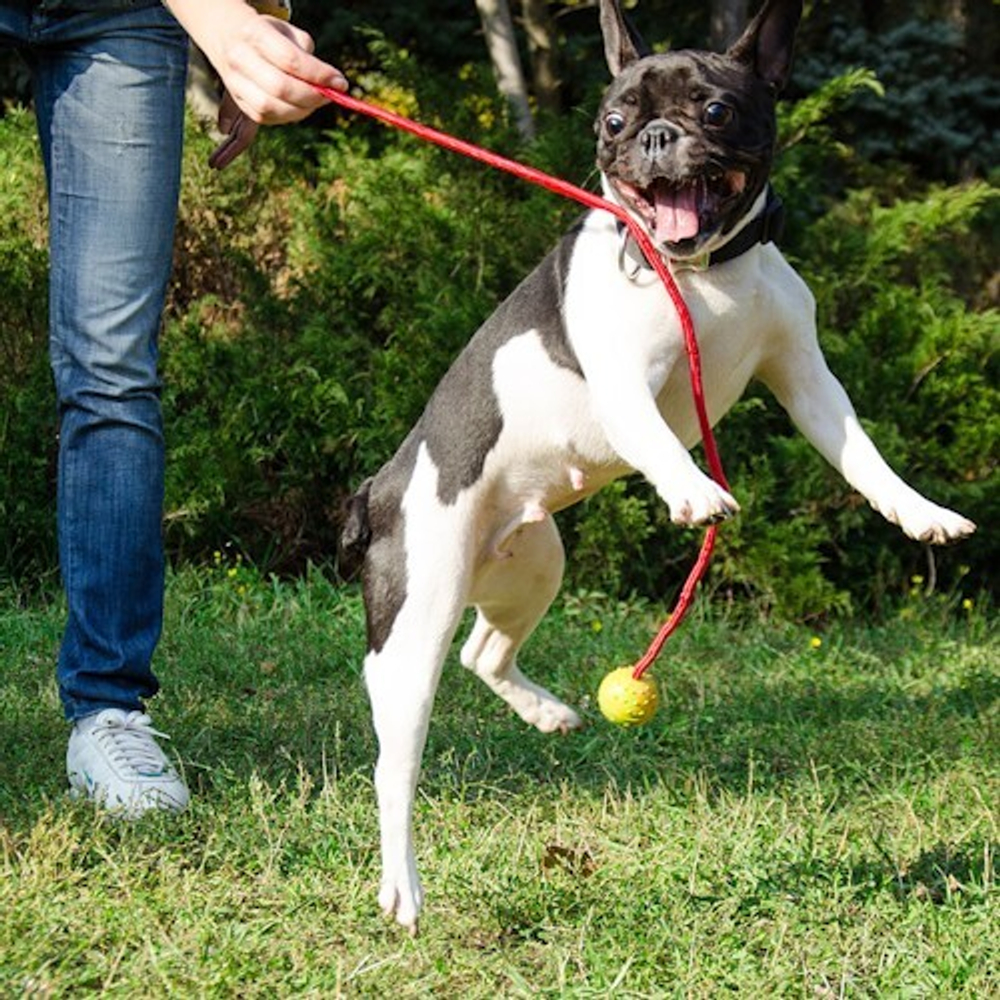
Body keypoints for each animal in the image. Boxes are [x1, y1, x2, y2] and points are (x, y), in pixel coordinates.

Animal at [342, 0, 976, 928]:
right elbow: (654, 436)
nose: (654, 136)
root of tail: (379, 488)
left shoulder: (806, 377)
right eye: (612, 121)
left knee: (484, 652)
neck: (703, 269)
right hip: (418, 613)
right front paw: (693, 491)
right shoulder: (623, 383)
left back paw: (548, 713)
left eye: (715, 109)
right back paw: (402, 888)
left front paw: (920, 511)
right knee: (397, 760)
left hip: (534, 562)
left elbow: (862, 454)